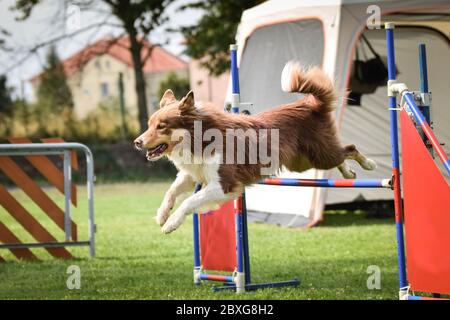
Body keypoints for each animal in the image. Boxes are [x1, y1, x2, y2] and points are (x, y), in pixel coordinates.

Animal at [134, 61, 376, 234]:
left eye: (161, 126)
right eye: (149, 125)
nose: (137, 142)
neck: (200, 137)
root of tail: (310, 104)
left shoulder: (224, 184)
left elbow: (189, 201)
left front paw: (171, 223)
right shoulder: (194, 173)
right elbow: (172, 191)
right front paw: (162, 214)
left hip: (320, 154)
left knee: (349, 148)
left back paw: (369, 164)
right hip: (303, 162)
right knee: (341, 156)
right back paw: (349, 173)